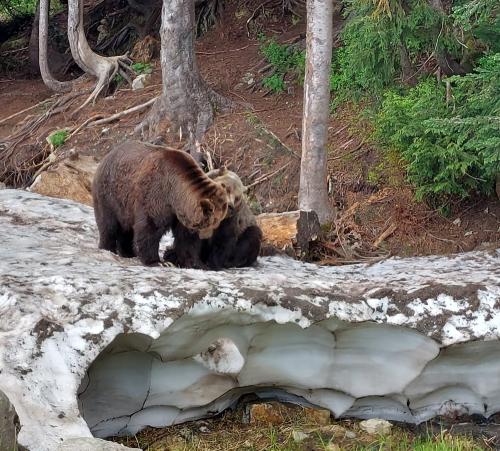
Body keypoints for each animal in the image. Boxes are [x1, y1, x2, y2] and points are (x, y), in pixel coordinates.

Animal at [92, 142, 229, 264]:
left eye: (217, 223)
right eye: (212, 222)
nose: (205, 237)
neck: (175, 194)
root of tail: (105, 157)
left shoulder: (181, 214)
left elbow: (185, 238)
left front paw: (193, 261)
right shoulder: (156, 194)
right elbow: (150, 227)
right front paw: (156, 261)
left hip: (125, 206)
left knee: (126, 229)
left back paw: (128, 252)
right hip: (109, 195)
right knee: (108, 225)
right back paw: (107, 248)